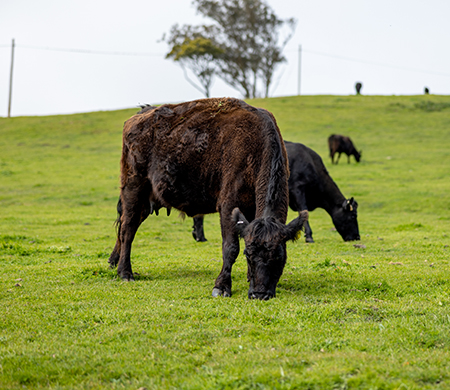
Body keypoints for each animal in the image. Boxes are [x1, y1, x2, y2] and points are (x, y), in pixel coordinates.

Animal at [192, 140, 360, 244]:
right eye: (352, 216)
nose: (357, 237)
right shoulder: (298, 190)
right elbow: (304, 211)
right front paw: (309, 236)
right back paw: (201, 237)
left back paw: (198, 236)